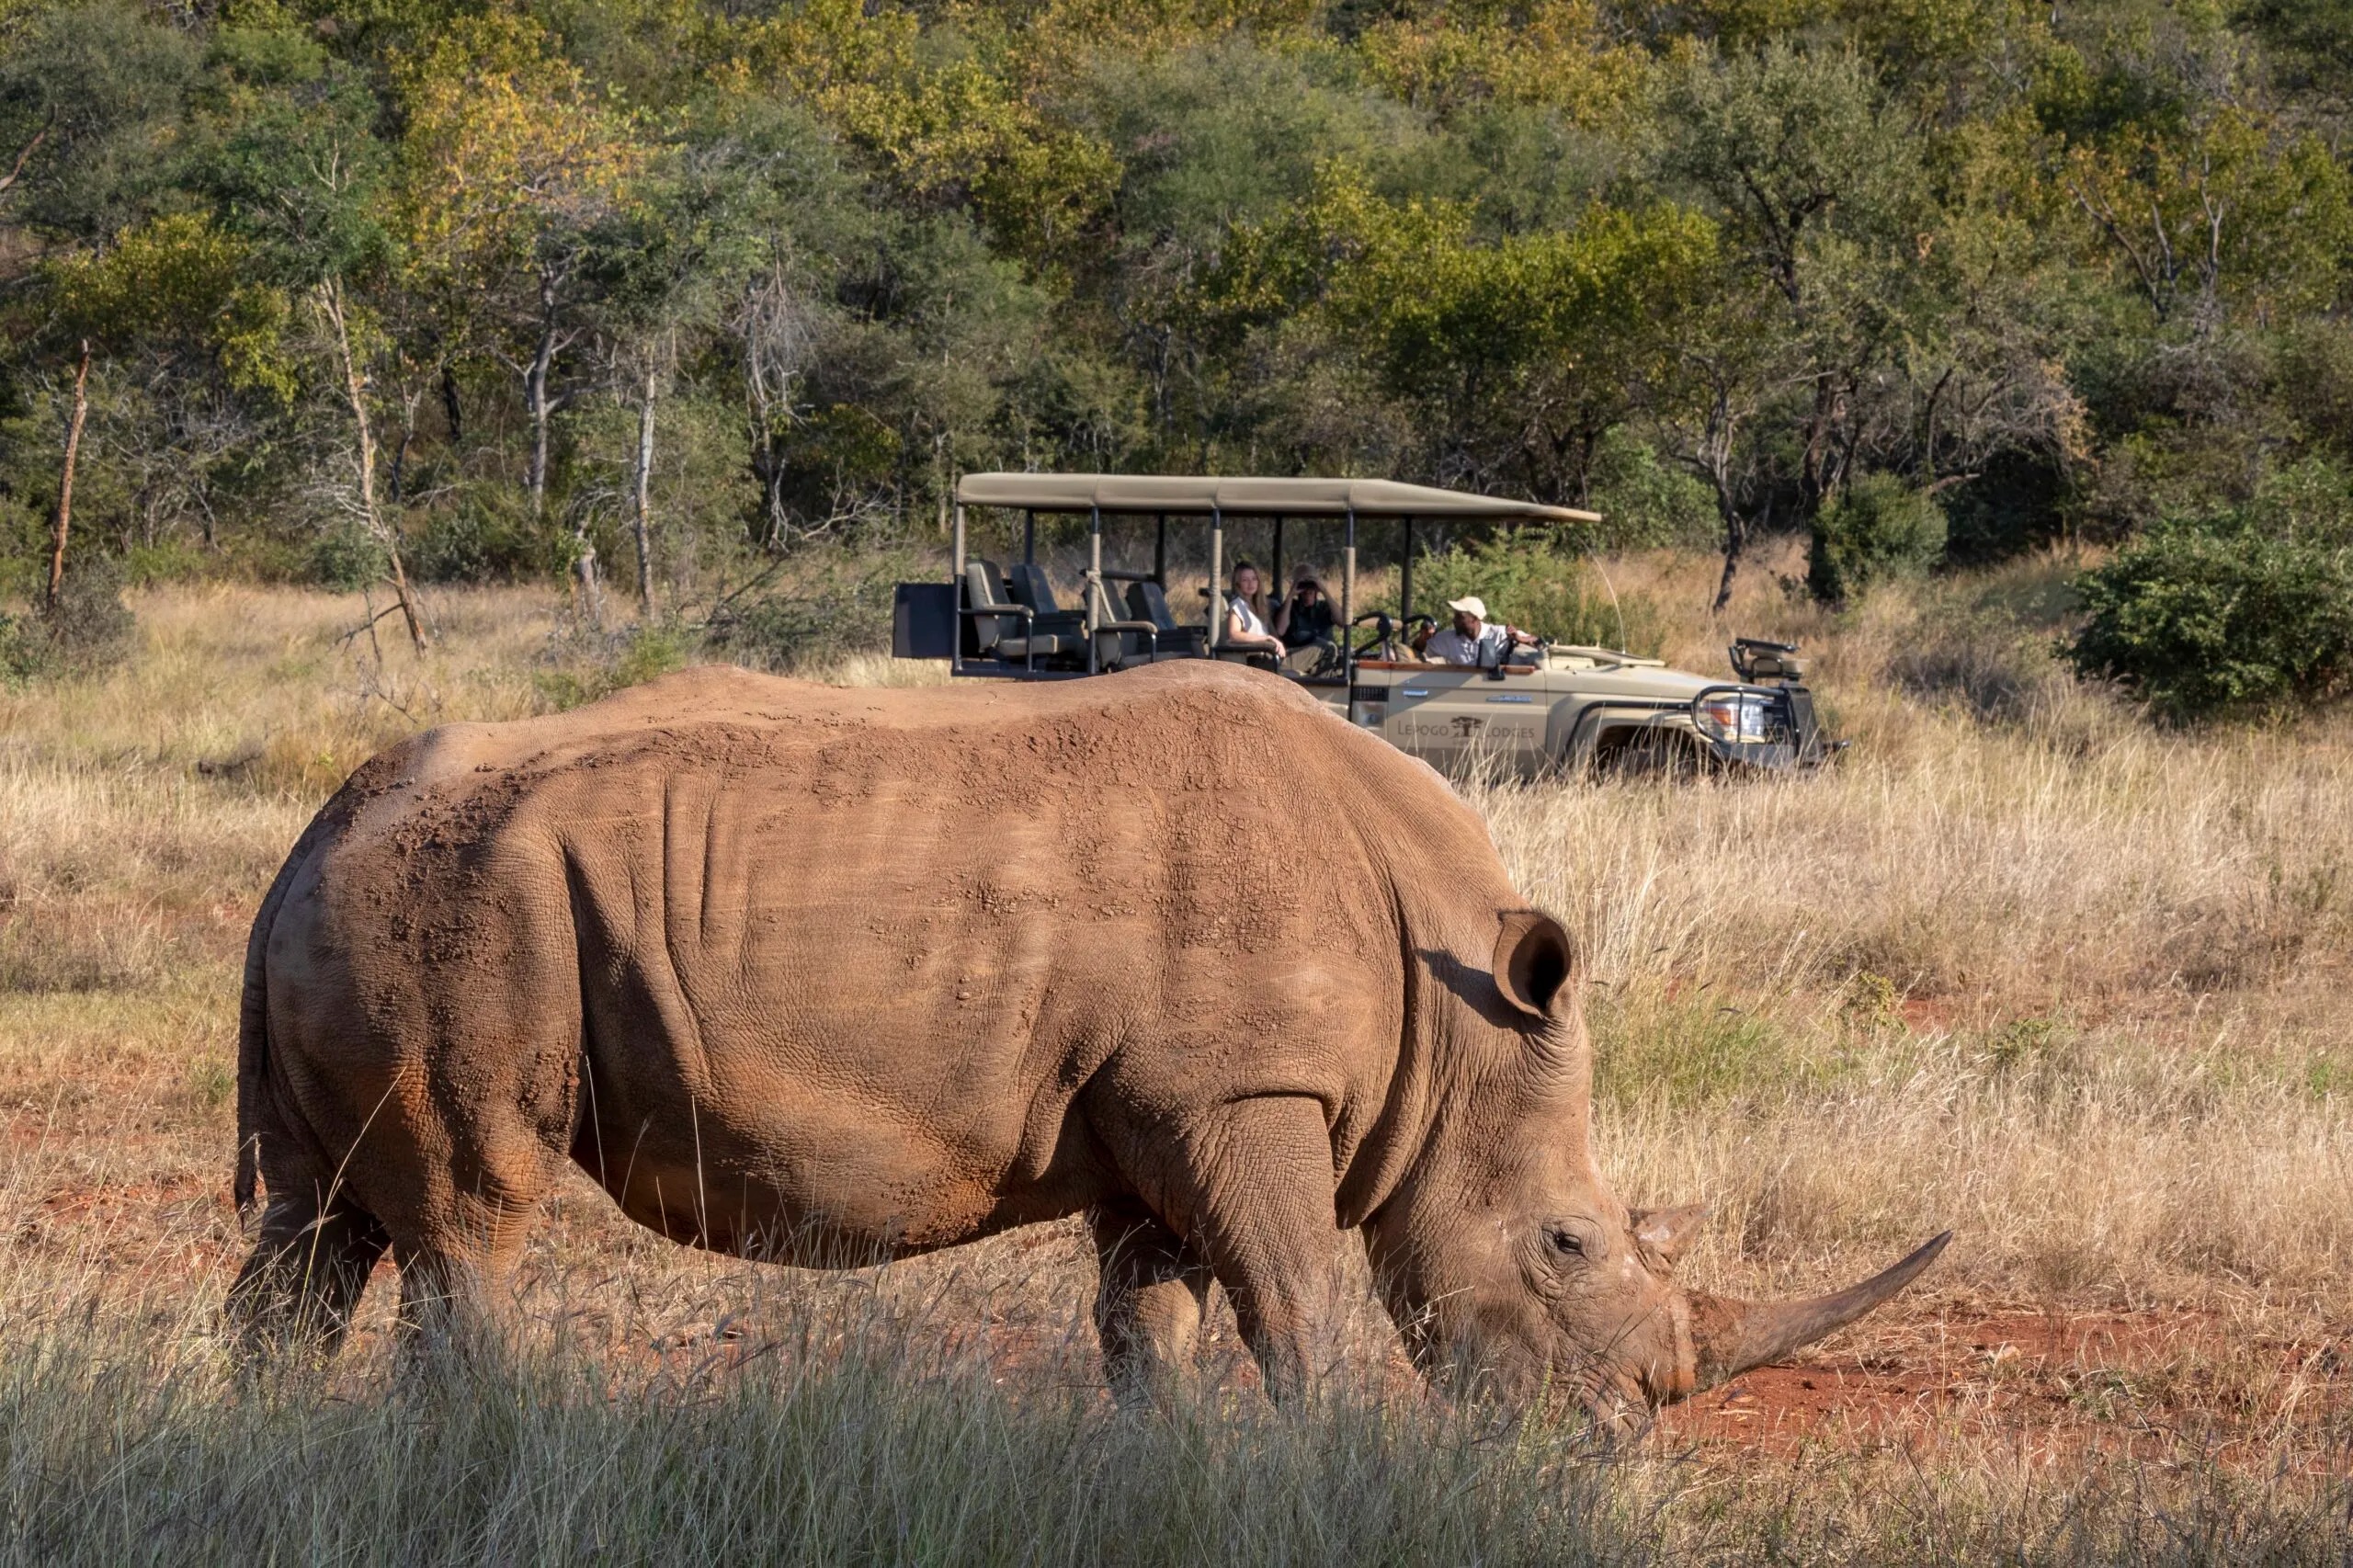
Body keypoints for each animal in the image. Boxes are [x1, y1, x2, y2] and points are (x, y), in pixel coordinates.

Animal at [230, 661, 1944, 1422]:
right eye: (1571, 1243)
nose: (1623, 1428)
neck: (1455, 1012)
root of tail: (315, 828)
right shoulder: (1243, 1088)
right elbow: (1296, 1305)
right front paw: (1334, 1466)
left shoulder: (1160, 1114)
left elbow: (1154, 1326)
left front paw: (1170, 1468)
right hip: (463, 906)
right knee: (470, 1214)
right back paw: (499, 1442)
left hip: (368, 906)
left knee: (315, 1228)